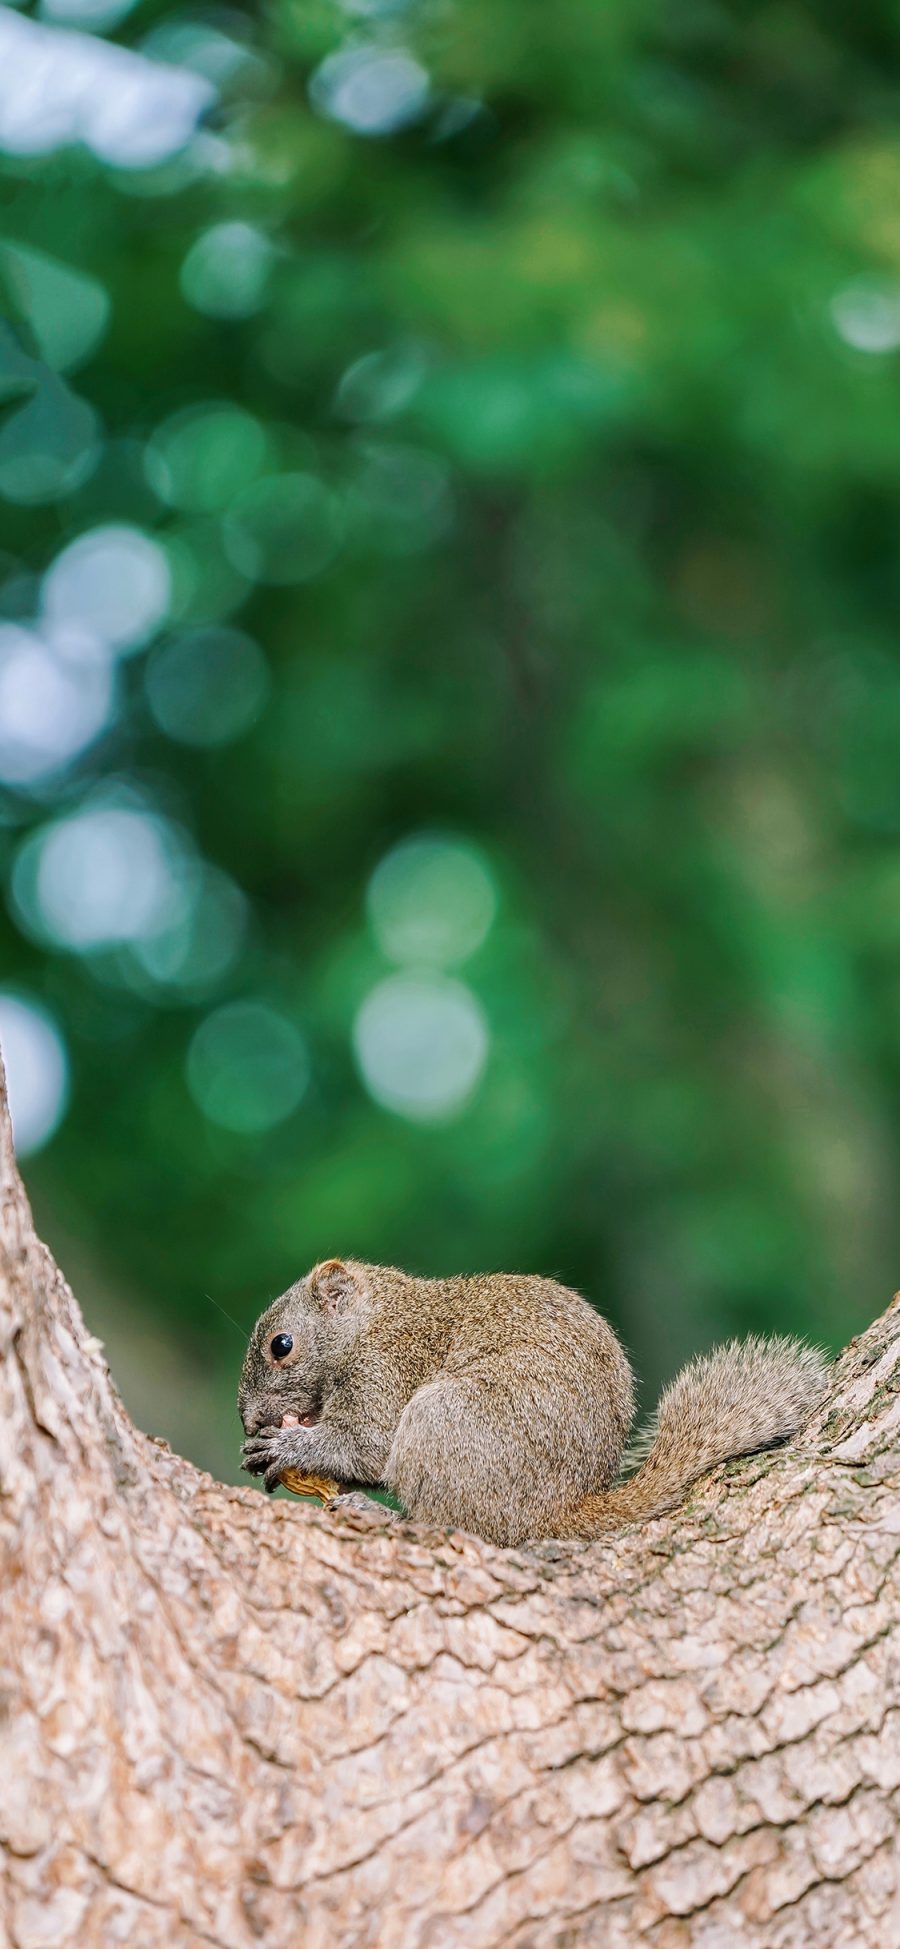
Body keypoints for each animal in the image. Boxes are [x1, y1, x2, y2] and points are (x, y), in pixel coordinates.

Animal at [238, 1262, 829, 1551]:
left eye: (281, 1345)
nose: (248, 1418)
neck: (372, 1320)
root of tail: (558, 1508)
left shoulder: (385, 1369)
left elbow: (367, 1446)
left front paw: (288, 1444)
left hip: (441, 1422)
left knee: (464, 1528)